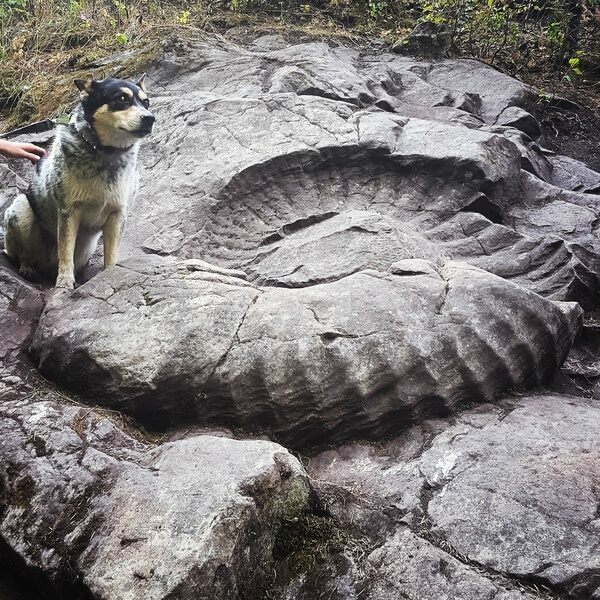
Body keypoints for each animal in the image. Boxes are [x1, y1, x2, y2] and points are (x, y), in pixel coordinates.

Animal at [3, 75, 154, 288]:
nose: (150, 118)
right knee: (22, 254)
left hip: (86, 247)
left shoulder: (117, 214)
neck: (106, 153)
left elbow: (111, 254)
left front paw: (110, 274)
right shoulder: (69, 212)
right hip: (20, 209)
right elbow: (66, 251)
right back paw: (28, 269)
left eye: (146, 102)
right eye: (121, 99)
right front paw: (65, 282)